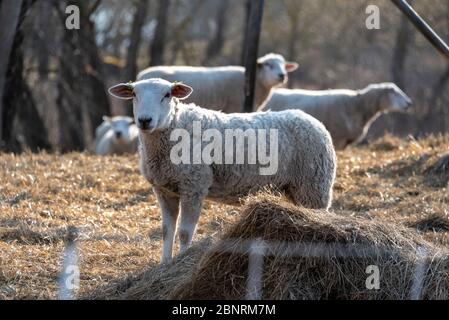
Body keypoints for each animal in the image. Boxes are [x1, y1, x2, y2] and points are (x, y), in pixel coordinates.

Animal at [108, 77, 336, 262]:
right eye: (134, 95)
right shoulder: (164, 189)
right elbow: (167, 230)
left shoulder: (194, 186)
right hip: (294, 188)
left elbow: (184, 232)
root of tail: (311, 120)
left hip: (314, 186)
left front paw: (181, 260)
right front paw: (165, 264)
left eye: (167, 95)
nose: (144, 120)